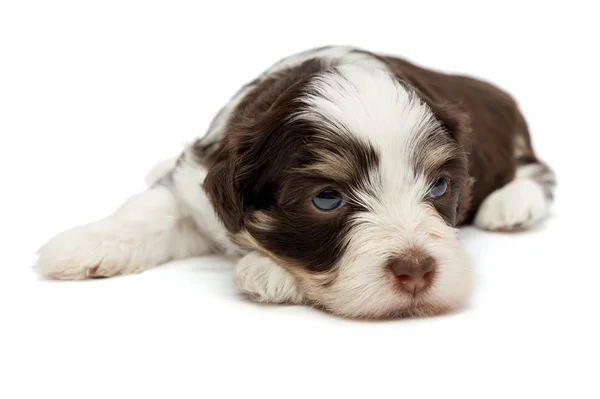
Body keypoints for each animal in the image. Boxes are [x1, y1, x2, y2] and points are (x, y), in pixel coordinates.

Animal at [36, 47, 552, 320]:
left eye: (441, 186)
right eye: (327, 198)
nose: (417, 271)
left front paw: (265, 271)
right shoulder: (196, 179)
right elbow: (149, 211)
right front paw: (83, 245)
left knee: (536, 170)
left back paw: (513, 204)